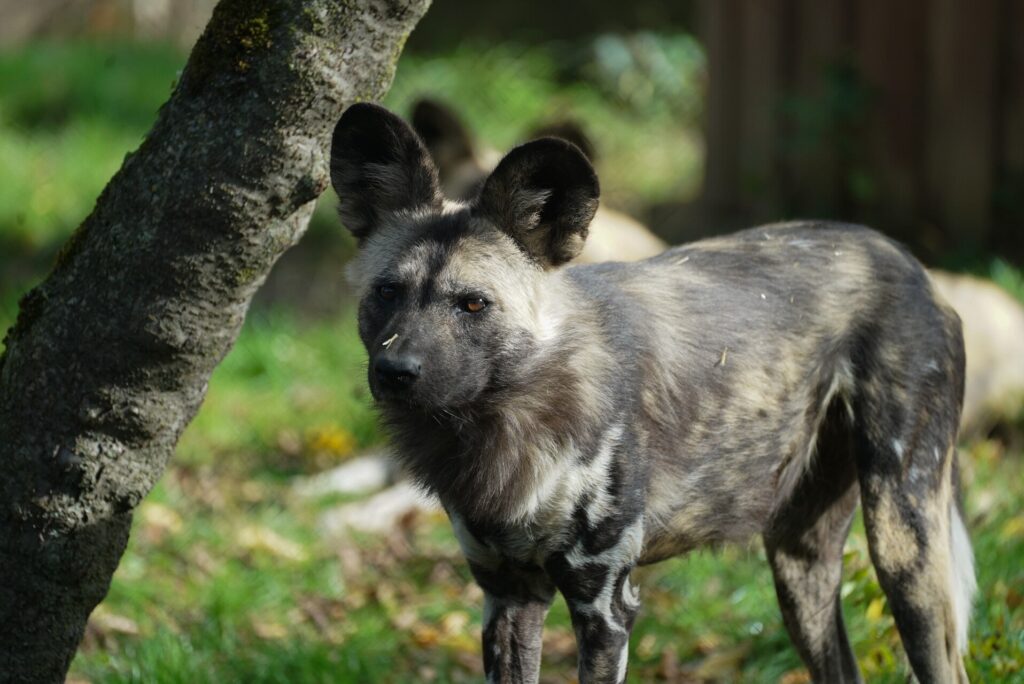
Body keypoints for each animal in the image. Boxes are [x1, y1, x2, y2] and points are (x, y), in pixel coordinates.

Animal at [331, 102, 978, 684]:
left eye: (472, 304)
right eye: (387, 292)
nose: (395, 370)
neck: (508, 419)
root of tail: (908, 260)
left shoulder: (604, 608)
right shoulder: (508, 596)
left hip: (903, 547)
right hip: (801, 567)